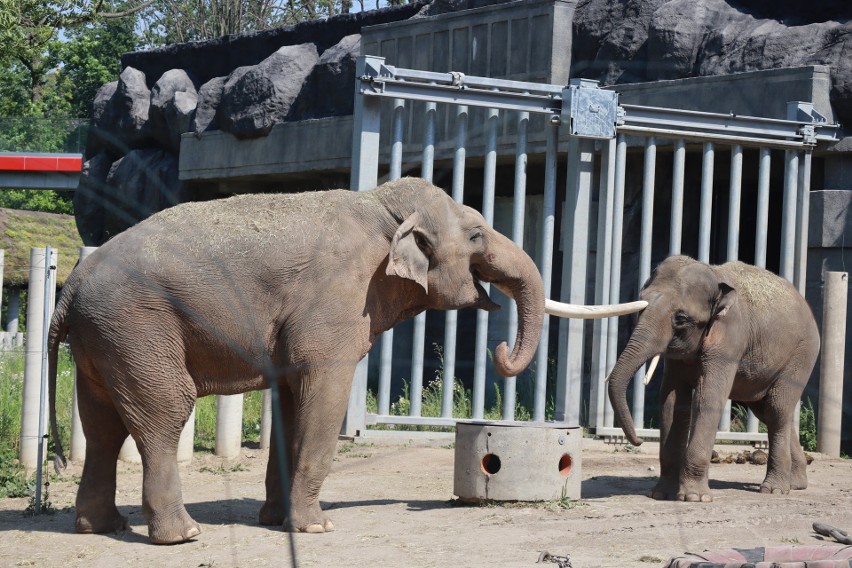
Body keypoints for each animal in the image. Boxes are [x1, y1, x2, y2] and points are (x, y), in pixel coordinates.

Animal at [604, 256, 820, 502]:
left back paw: (774, 489)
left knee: (777, 409)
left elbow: (708, 398)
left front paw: (694, 497)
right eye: (641, 304)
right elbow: (672, 402)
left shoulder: (729, 339)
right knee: (767, 412)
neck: (715, 278)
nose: (639, 441)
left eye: (680, 318)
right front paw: (662, 494)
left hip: (802, 354)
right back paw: (796, 483)